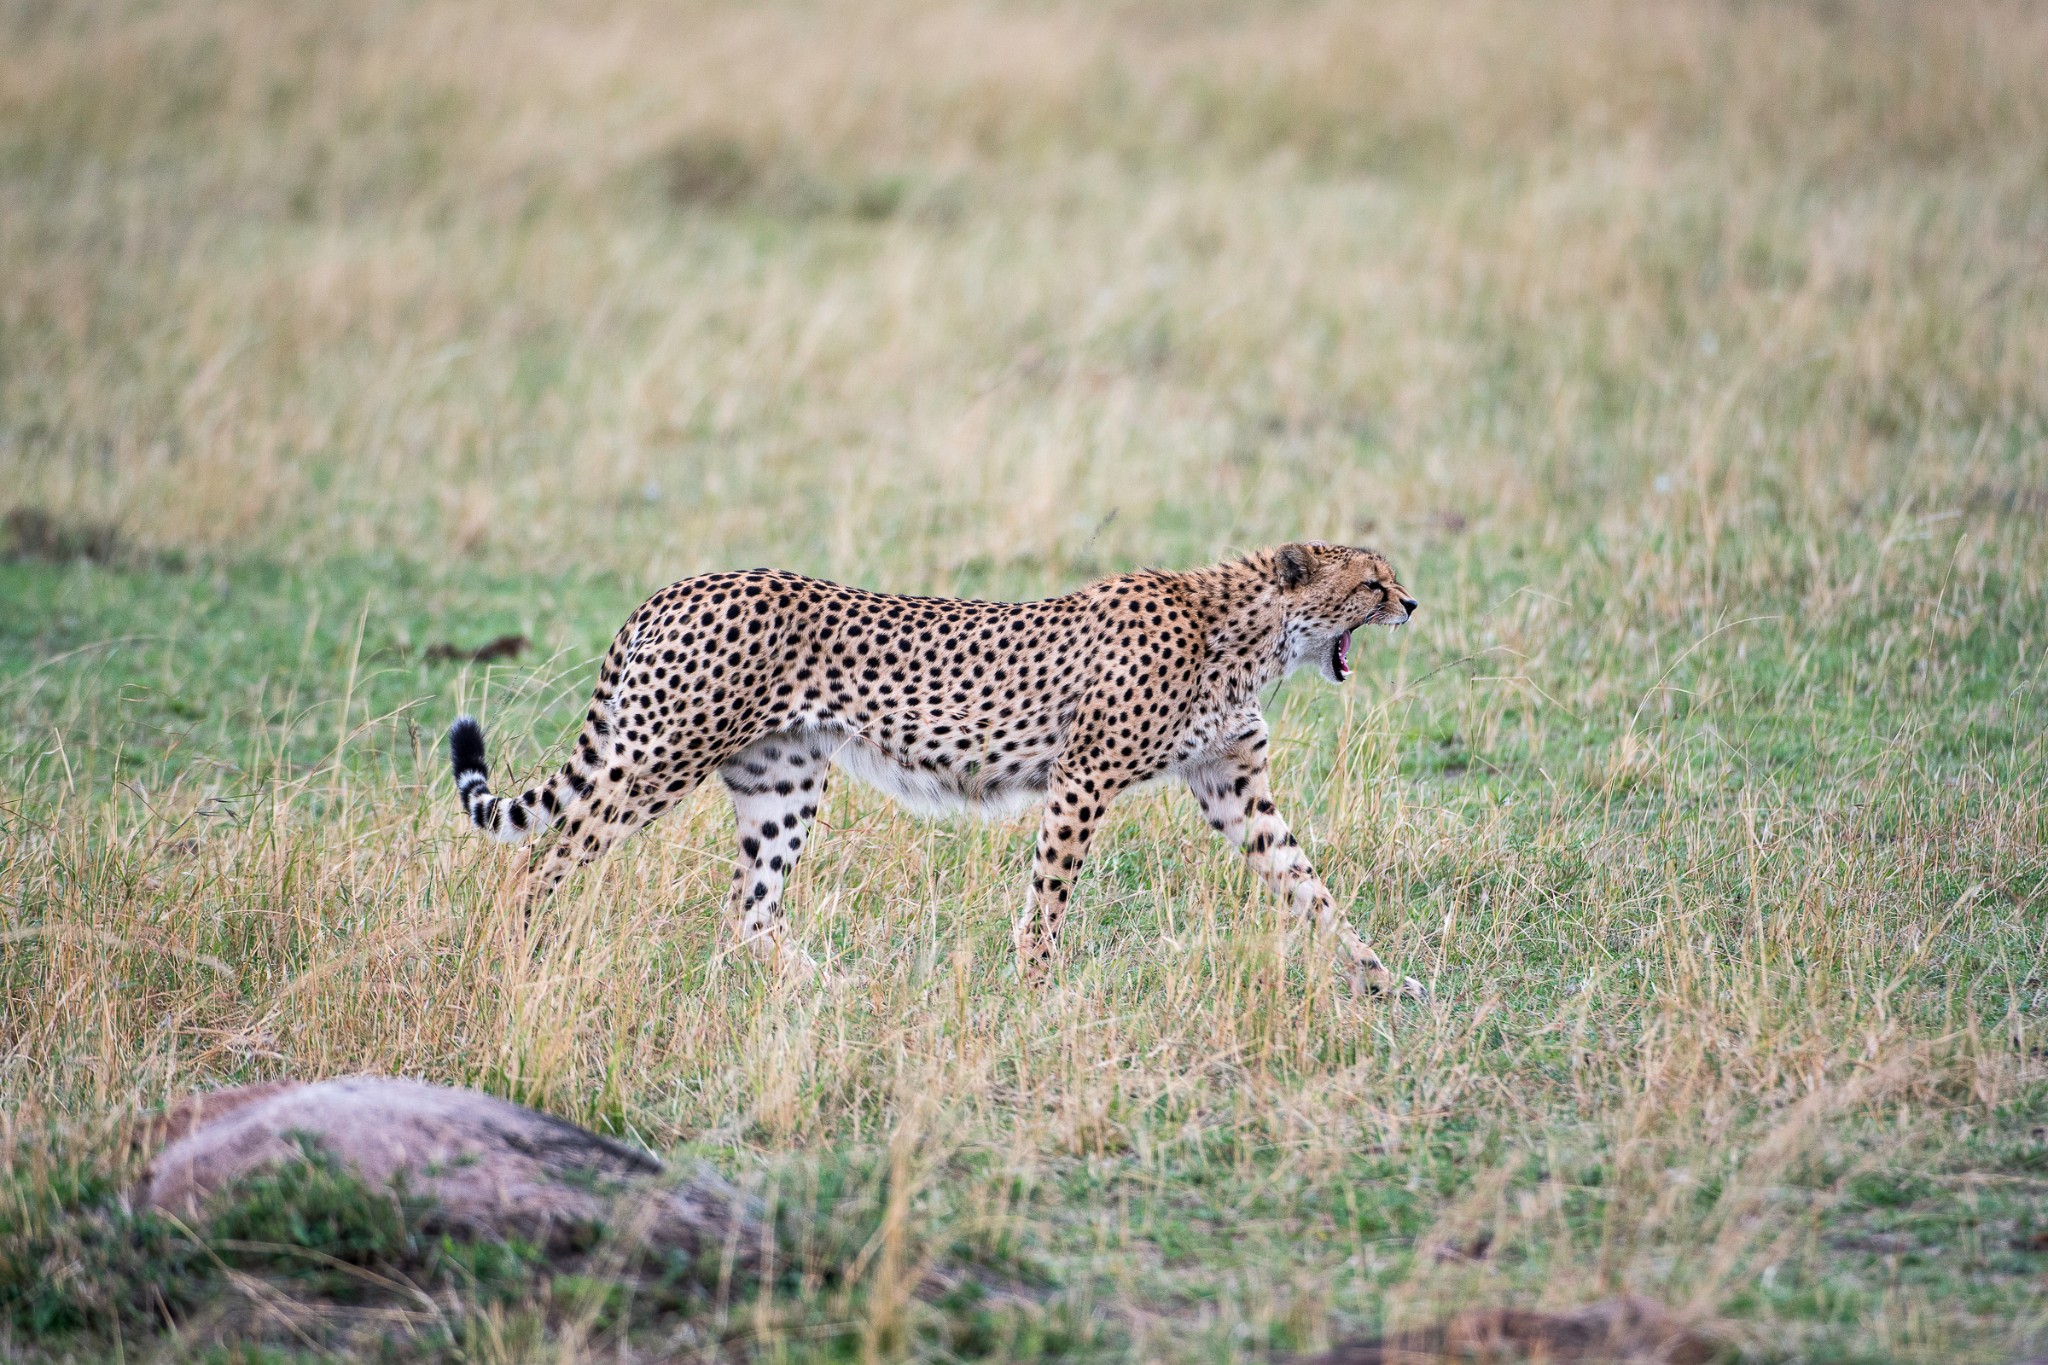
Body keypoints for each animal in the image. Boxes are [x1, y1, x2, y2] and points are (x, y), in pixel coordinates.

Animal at [452, 540, 1425, 998]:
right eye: (1371, 583)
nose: (1412, 602)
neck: (1251, 631)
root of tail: (678, 586)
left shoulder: (1232, 787)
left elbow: (1312, 888)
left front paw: (1384, 979)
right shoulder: (1083, 776)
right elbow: (1049, 894)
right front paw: (1037, 987)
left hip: (782, 781)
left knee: (748, 910)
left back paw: (837, 991)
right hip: (658, 759)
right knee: (535, 865)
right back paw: (510, 963)